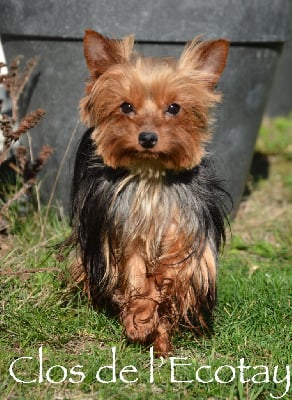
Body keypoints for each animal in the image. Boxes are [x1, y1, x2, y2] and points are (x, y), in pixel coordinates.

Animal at [67, 31, 229, 356]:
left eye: (174, 108)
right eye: (126, 107)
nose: (148, 137)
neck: (151, 177)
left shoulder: (187, 229)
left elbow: (177, 269)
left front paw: (155, 311)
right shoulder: (123, 232)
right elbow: (135, 274)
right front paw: (140, 320)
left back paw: (163, 342)